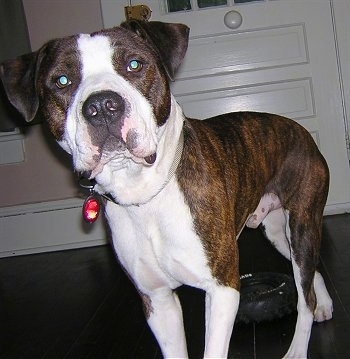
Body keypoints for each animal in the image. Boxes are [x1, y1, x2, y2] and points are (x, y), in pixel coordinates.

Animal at [0, 21, 334, 358]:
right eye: (62, 81)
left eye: (135, 64)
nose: (101, 106)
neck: (143, 193)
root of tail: (301, 130)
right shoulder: (157, 301)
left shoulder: (222, 288)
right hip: (279, 233)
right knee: (309, 275)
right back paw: (324, 305)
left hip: (302, 223)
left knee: (304, 293)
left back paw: (297, 348)